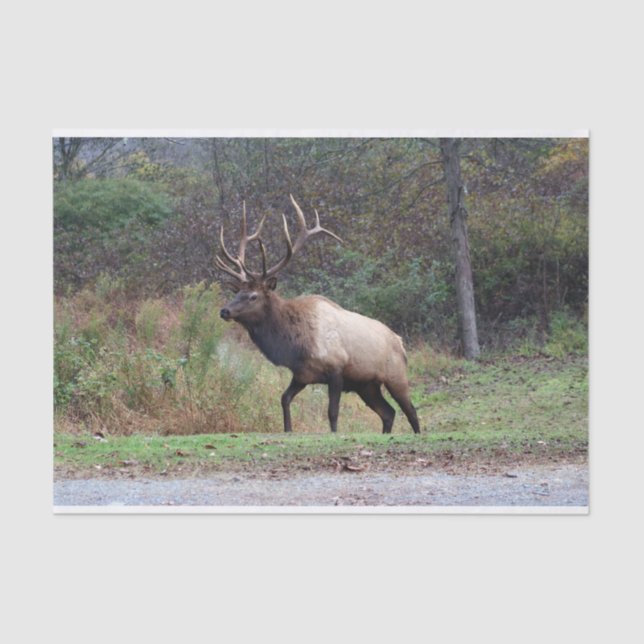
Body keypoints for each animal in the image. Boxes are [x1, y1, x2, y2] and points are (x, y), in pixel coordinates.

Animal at [216, 195, 421, 435]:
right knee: (389, 413)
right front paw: (288, 430)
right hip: (367, 385)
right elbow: (284, 399)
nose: (225, 310)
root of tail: (400, 342)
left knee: (411, 411)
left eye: (253, 296)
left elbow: (332, 412)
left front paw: (334, 433)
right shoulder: (302, 375)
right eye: (237, 292)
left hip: (396, 375)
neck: (295, 345)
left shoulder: (336, 370)